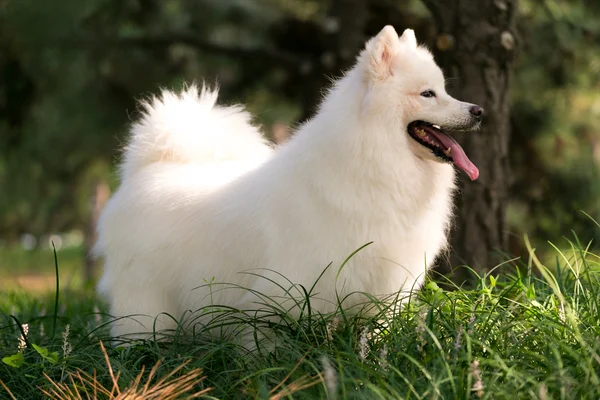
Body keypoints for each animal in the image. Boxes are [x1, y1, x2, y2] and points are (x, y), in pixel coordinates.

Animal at [96, 26, 486, 340]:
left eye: (444, 91)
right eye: (427, 94)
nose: (479, 110)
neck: (373, 163)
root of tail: (151, 166)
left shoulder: (384, 290)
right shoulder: (287, 293)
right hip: (147, 304)